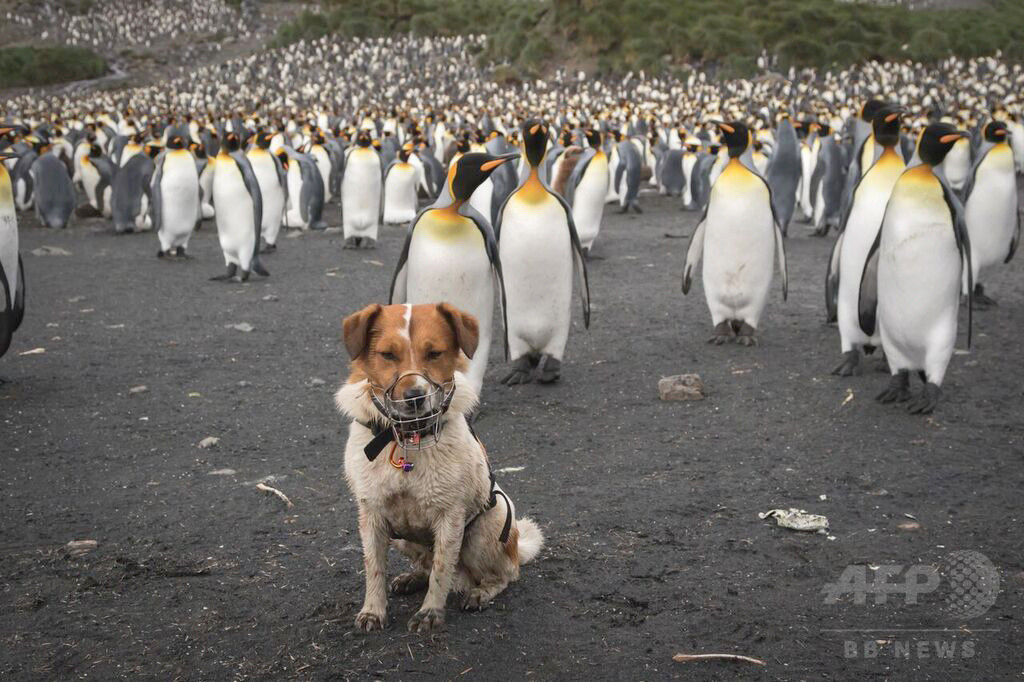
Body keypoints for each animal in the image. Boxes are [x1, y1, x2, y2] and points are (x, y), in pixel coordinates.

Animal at [335, 301, 544, 630]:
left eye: (434, 353)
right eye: (388, 354)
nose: (414, 397)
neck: (407, 438)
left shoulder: (450, 515)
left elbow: (442, 569)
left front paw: (430, 612)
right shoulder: (372, 514)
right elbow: (374, 569)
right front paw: (373, 611)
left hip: (487, 528)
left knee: (505, 573)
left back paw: (480, 592)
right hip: (401, 539)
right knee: (425, 563)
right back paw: (412, 578)